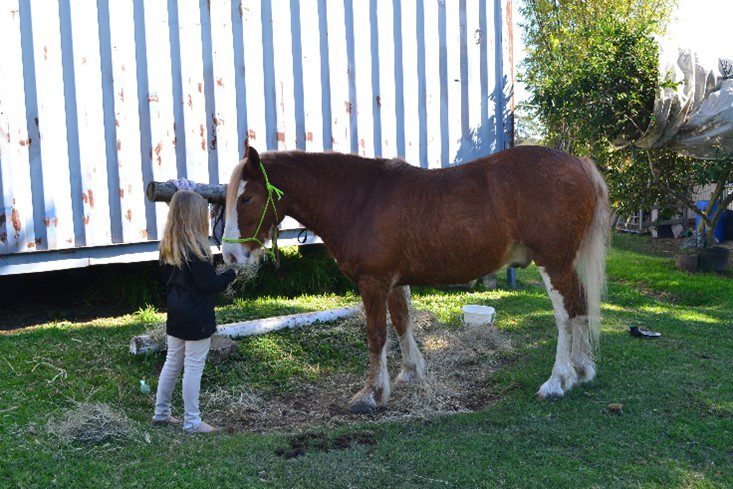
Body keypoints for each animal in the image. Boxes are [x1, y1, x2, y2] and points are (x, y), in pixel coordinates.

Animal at [220, 142, 608, 412]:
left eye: (247, 198)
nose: (229, 256)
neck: (358, 199)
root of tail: (579, 163)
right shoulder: (394, 280)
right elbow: (402, 321)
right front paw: (410, 372)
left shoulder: (373, 282)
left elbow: (376, 335)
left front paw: (372, 394)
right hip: (565, 265)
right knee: (580, 306)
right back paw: (582, 370)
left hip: (553, 263)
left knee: (565, 316)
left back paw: (558, 380)